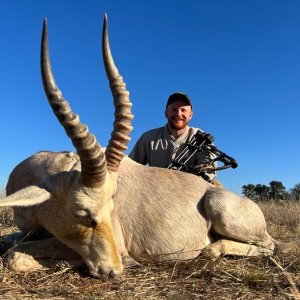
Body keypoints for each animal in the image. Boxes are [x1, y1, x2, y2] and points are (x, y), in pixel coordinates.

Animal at [0, 15, 276, 278]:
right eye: (81, 213)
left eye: (111, 205)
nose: (116, 268)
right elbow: (10, 243)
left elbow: (14, 255)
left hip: (223, 212)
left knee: (269, 245)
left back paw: (211, 249)